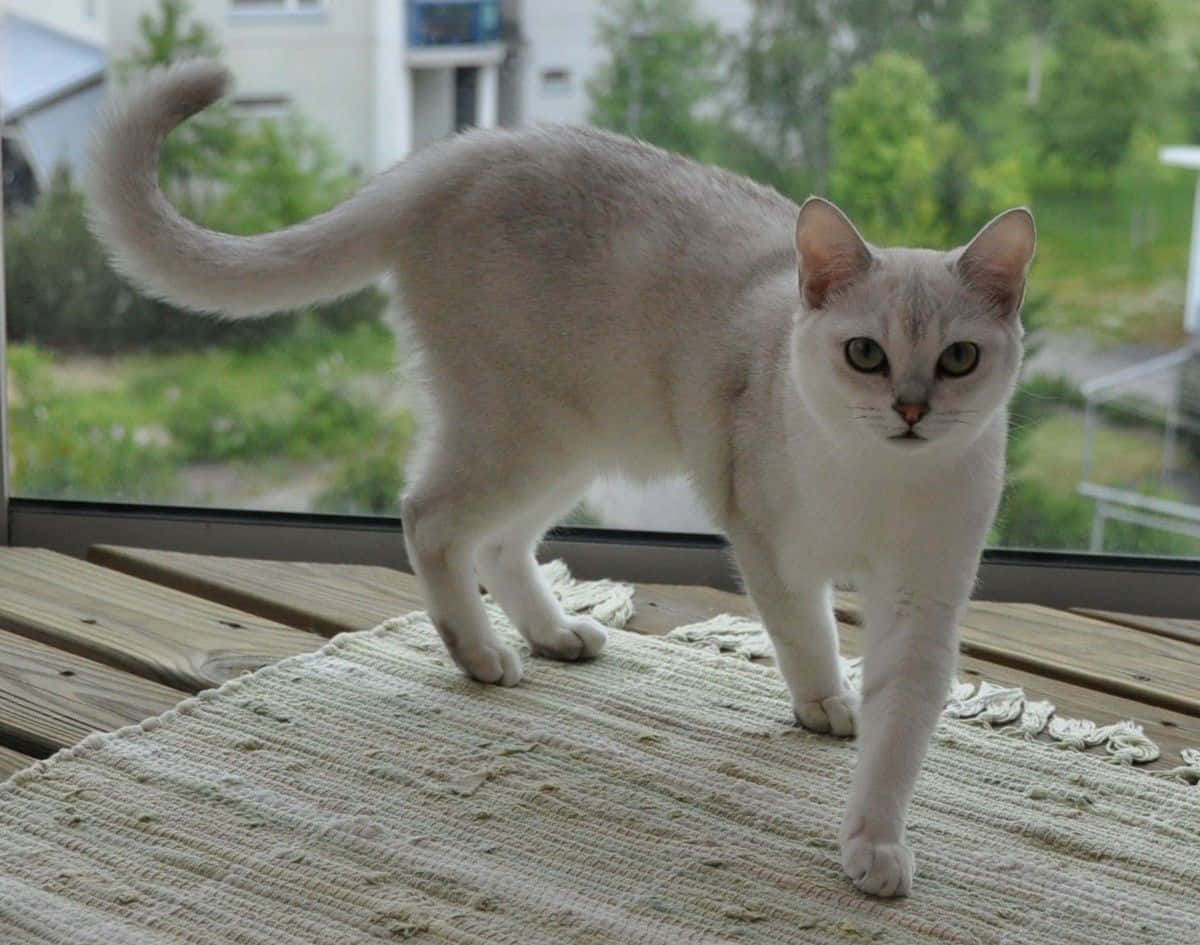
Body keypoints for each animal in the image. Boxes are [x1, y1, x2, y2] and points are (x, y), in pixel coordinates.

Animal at [88, 60, 1036, 901]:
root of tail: (468, 146)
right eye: (865, 354)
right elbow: (806, 640)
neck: (875, 481)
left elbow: (897, 739)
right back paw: (481, 656)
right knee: (429, 518)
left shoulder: (923, 603)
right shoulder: (771, 551)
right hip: (527, 433)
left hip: (572, 440)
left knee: (498, 543)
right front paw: (826, 705)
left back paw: (554, 635)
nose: (910, 409)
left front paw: (874, 844)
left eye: (957, 359)